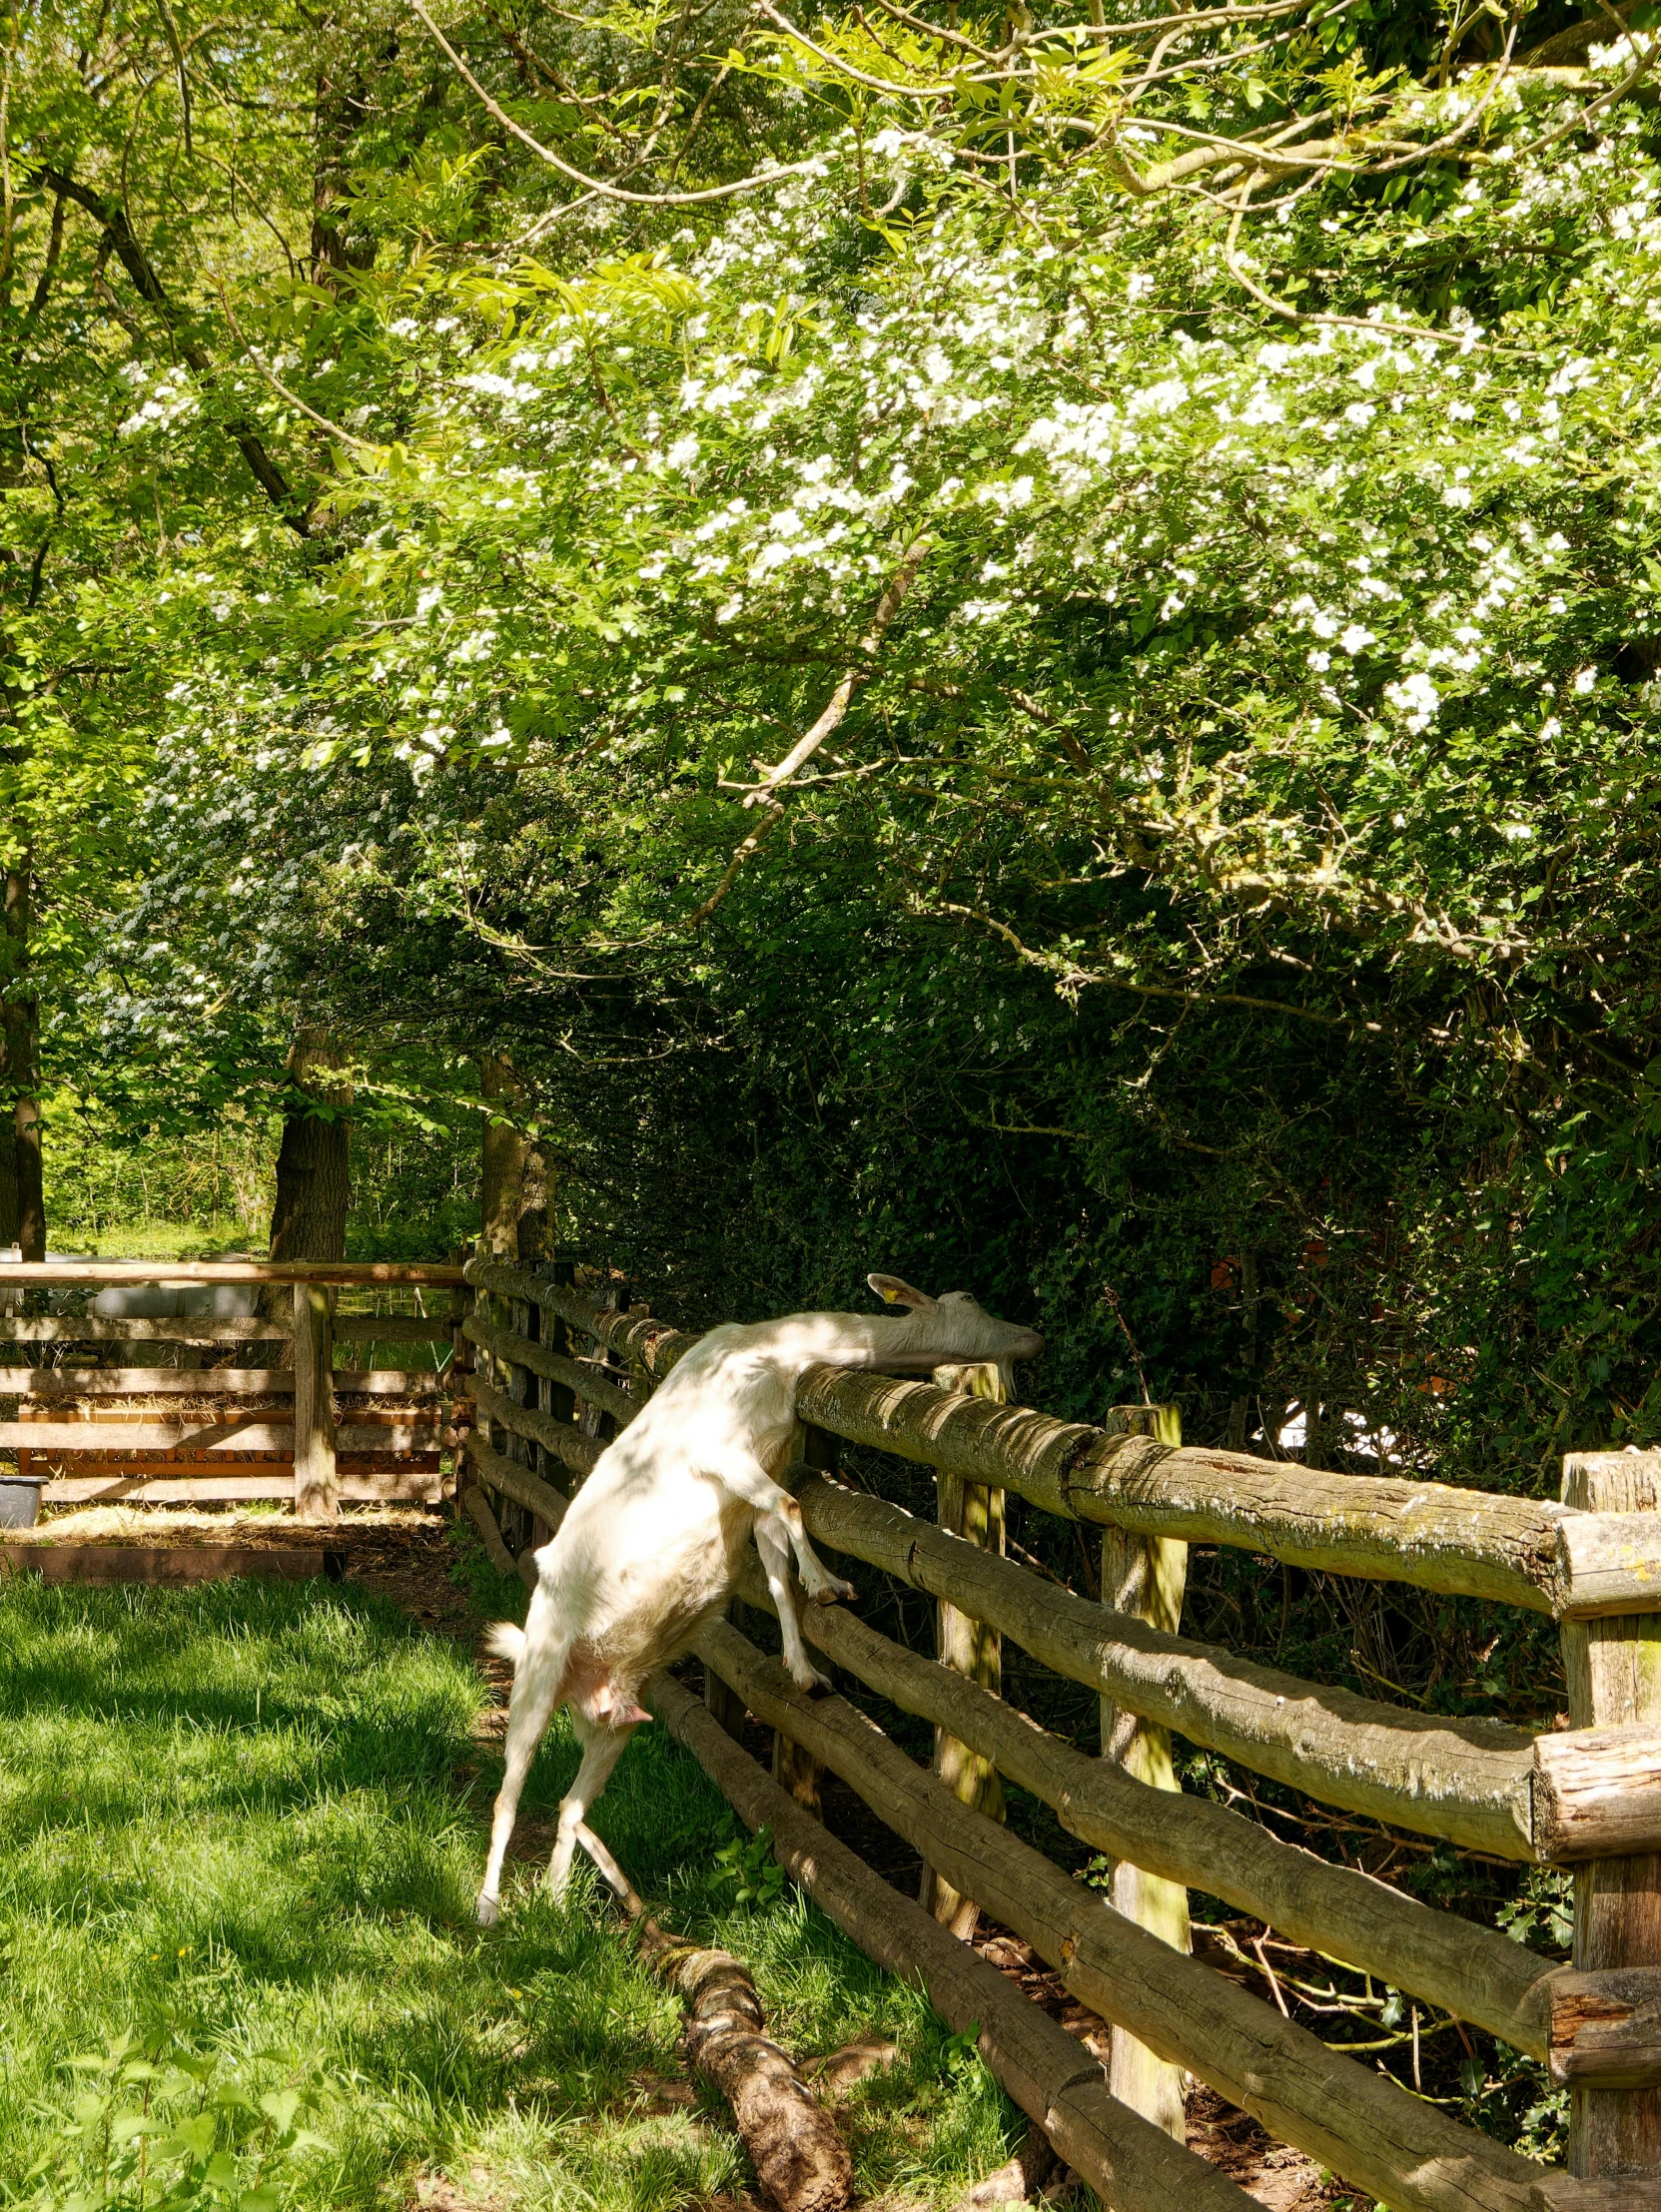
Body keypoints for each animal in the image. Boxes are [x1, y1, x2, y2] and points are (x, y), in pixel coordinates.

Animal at [472, 1282, 1039, 1919]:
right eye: (968, 1301)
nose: (1033, 1336)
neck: (772, 1353)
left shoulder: (764, 1470)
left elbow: (776, 1568)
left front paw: (807, 1669)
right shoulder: (723, 1452)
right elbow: (792, 1508)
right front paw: (830, 1585)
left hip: (615, 1725)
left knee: (571, 1806)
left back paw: (558, 1898)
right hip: (537, 1679)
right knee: (507, 1795)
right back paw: (488, 1908)